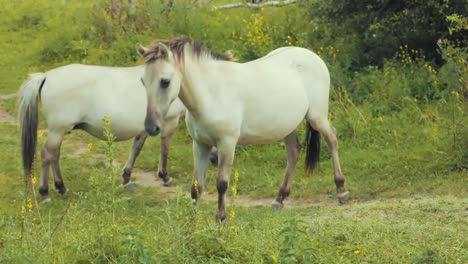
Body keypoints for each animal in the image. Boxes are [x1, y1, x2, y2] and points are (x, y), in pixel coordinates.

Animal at [17, 63, 217, 202]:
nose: (215, 160)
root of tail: (46, 76)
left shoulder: (147, 127)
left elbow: (136, 148)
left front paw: (126, 177)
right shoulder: (169, 123)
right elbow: (165, 149)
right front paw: (165, 177)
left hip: (59, 131)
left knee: (54, 155)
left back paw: (60, 187)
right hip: (58, 130)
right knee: (46, 154)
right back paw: (45, 193)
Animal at [137, 37, 350, 222]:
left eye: (165, 81)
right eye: (143, 81)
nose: (151, 126)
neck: (211, 93)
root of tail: (312, 56)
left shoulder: (227, 143)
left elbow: (222, 183)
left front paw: (220, 219)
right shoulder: (200, 145)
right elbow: (196, 187)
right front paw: (191, 222)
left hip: (317, 117)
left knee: (332, 139)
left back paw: (342, 191)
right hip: (287, 125)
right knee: (294, 151)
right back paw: (279, 199)